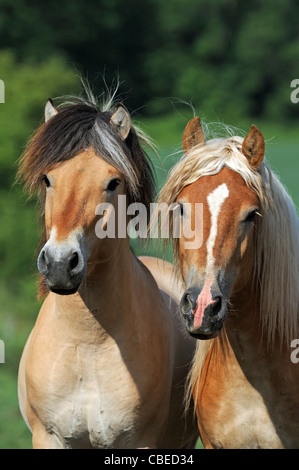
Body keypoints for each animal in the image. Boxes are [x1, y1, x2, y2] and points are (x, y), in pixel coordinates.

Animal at [17, 93, 198, 450]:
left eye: (113, 183)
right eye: (48, 179)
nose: (60, 263)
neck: (88, 345)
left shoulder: (141, 441)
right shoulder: (48, 437)